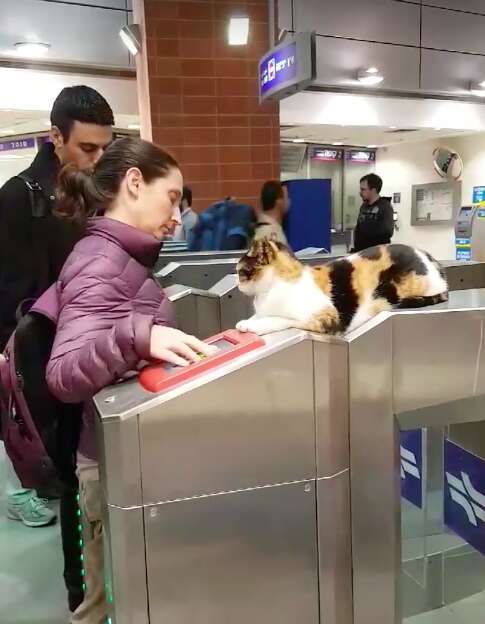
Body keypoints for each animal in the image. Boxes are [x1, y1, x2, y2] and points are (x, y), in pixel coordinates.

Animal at [234, 239, 446, 336]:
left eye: (240, 271)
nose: (236, 283)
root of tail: (429, 256)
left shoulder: (327, 318)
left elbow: (281, 318)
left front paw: (252, 325)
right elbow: (260, 315)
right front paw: (248, 320)